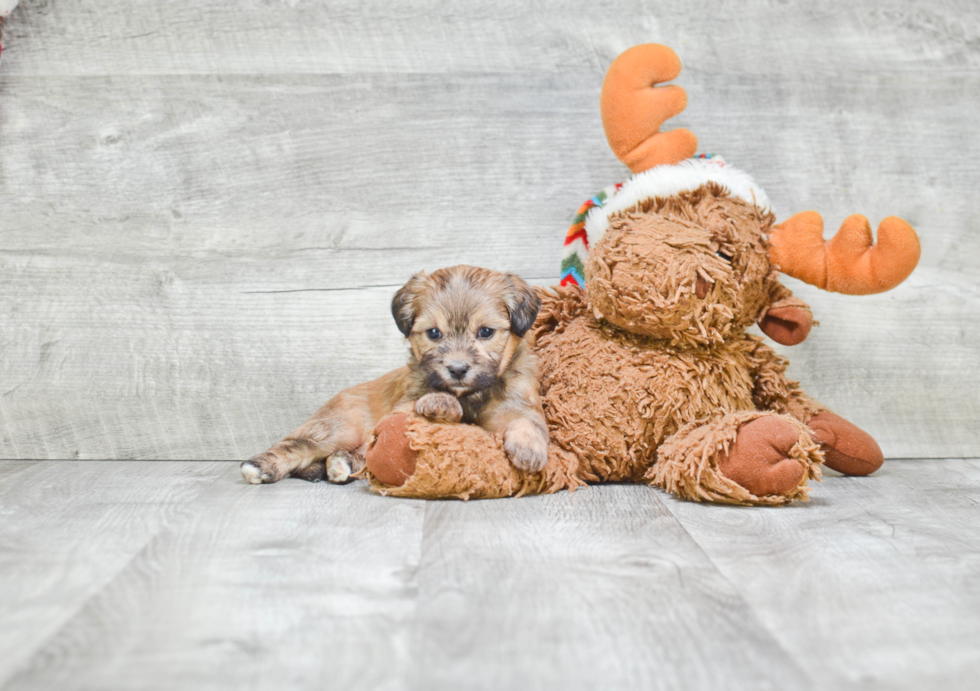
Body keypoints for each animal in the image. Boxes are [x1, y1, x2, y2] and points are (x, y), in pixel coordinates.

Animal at [236, 264, 544, 486]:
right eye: (434, 333)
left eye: (486, 332)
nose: (457, 369)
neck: (471, 396)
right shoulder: (402, 408)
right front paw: (441, 403)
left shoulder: (518, 404)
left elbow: (529, 422)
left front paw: (529, 449)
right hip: (339, 428)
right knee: (296, 446)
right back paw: (260, 467)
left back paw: (341, 465)